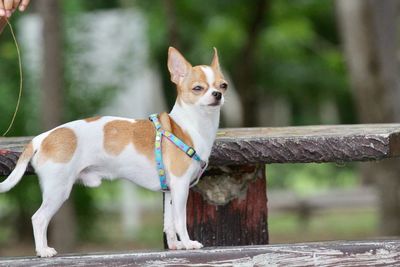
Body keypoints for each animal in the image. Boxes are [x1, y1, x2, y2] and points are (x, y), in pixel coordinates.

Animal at [0, 47, 227, 258]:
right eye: (197, 88)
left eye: (223, 85)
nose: (218, 94)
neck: (190, 126)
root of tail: (43, 137)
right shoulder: (180, 187)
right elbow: (180, 220)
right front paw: (188, 243)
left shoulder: (171, 191)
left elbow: (169, 223)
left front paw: (175, 245)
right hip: (58, 190)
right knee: (38, 218)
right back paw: (43, 250)